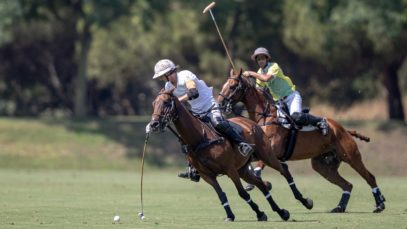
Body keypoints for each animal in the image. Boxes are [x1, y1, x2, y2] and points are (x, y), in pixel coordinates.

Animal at [150, 90, 294, 222]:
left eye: (166, 102)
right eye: (154, 103)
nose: (153, 124)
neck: (199, 138)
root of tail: (251, 122)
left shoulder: (230, 169)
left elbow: (242, 193)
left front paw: (258, 213)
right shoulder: (207, 175)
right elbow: (221, 195)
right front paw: (232, 215)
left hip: (266, 155)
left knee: (283, 170)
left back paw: (296, 203)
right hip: (242, 169)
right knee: (261, 184)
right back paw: (281, 211)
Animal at [218, 70, 388, 213]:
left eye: (232, 86)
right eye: (224, 85)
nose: (219, 104)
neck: (267, 117)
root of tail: (343, 129)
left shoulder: (271, 150)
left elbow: (260, 166)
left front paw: (254, 183)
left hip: (351, 156)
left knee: (369, 177)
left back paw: (379, 204)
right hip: (322, 166)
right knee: (348, 184)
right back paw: (339, 207)